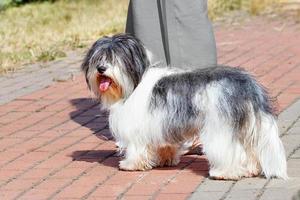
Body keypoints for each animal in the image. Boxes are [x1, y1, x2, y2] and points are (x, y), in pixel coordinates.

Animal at [81, 33, 288, 180]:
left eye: (115, 59)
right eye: (98, 58)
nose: (101, 68)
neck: (134, 83)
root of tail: (247, 84)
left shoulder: (137, 129)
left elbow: (136, 148)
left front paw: (130, 164)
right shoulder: (162, 124)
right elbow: (165, 145)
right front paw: (166, 160)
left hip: (219, 128)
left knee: (229, 150)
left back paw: (224, 172)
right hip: (246, 126)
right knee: (250, 149)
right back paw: (251, 169)